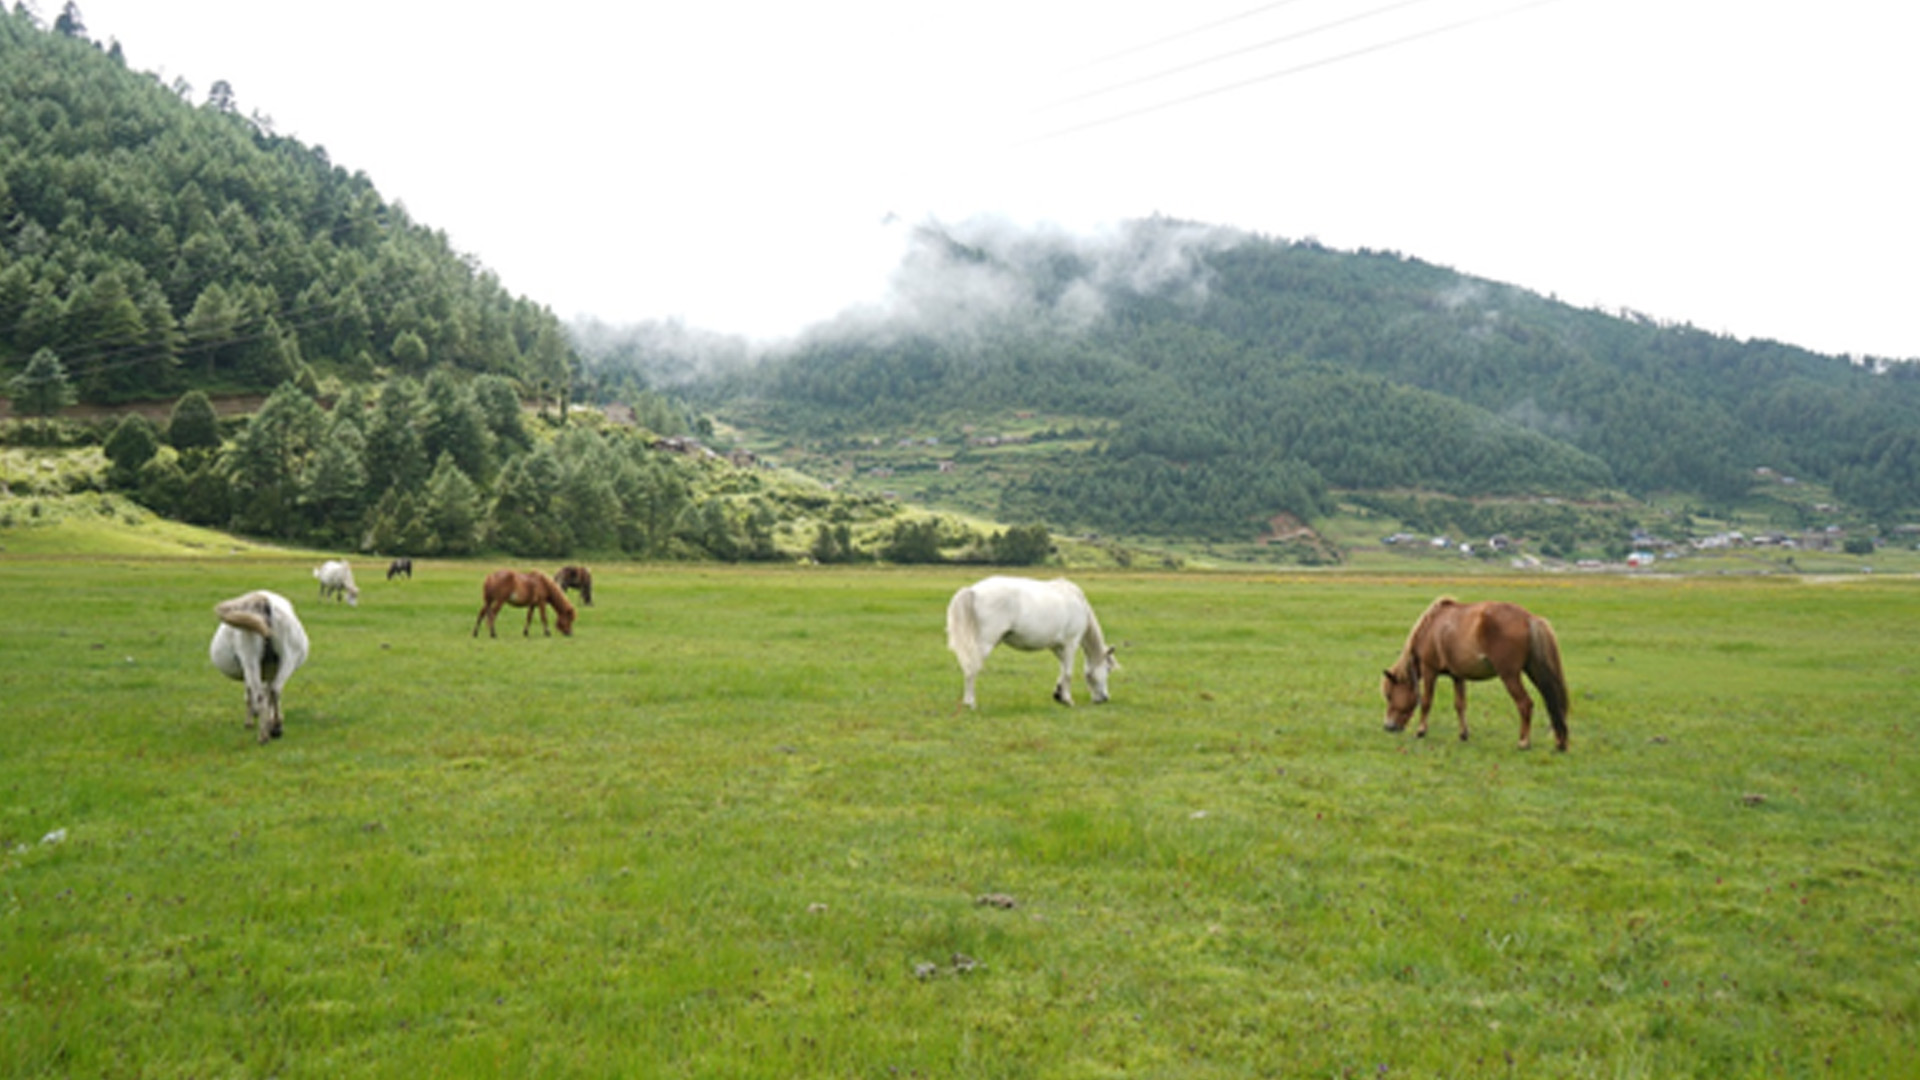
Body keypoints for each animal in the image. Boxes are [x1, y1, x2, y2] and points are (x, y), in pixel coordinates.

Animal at [209, 588, 307, 737]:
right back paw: (273, 729)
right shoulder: (270, 670)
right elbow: (267, 693)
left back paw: (266, 732)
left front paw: (251, 721)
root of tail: (263, 600)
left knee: (262, 692)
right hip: (287, 658)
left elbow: (250, 694)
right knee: (274, 690)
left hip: (251, 659)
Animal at [940, 572, 1113, 707]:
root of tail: (974, 591)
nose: (1104, 698)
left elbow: (1062, 670)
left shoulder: (1058, 647)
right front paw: (1067, 700)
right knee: (971, 668)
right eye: (1108, 669)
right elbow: (1068, 673)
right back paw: (970, 702)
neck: (1077, 600)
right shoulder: (1070, 644)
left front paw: (1059, 694)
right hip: (984, 645)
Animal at [1390, 595, 1566, 749]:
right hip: (1534, 671)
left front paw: (1420, 731)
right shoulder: (1458, 676)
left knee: (1525, 704)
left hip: (1509, 676)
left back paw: (1524, 742)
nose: (1388, 726)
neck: (1430, 628)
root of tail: (1528, 617)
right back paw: (1560, 743)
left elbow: (1426, 702)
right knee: (1552, 702)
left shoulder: (1429, 671)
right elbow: (1460, 705)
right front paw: (1463, 734)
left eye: (1389, 695)